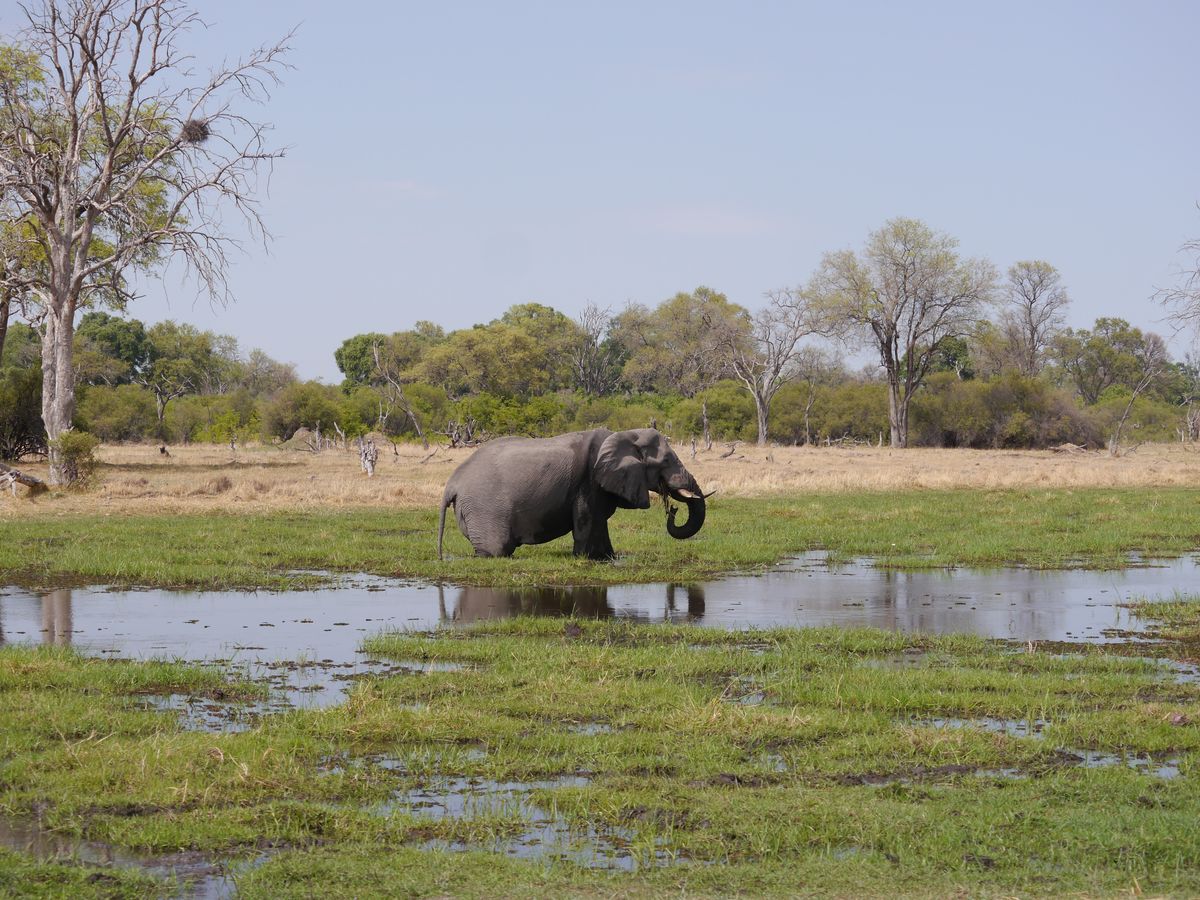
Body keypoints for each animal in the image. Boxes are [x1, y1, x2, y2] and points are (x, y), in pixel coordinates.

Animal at [437, 428, 708, 560]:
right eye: (667, 460)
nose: (673, 510)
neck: (623, 435)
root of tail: (452, 483)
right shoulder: (588, 480)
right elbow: (587, 520)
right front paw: (585, 559)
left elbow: (600, 521)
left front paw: (608, 557)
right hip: (483, 507)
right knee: (497, 549)